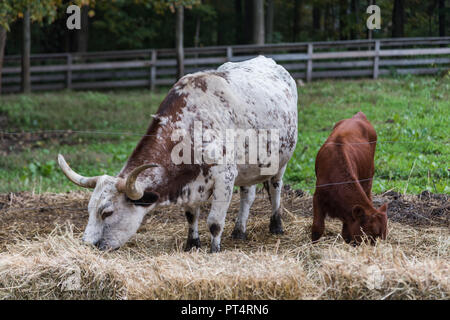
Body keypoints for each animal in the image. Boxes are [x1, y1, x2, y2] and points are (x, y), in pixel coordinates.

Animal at [59, 55, 298, 252]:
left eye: (107, 212)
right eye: (89, 209)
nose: (86, 245)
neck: (190, 124)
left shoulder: (225, 177)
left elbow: (214, 222)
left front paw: (214, 250)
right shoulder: (191, 183)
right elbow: (191, 215)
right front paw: (192, 243)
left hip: (281, 162)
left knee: (275, 189)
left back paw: (276, 224)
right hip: (248, 166)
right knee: (247, 194)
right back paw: (239, 230)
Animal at [312, 111, 386, 244]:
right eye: (369, 234)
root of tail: (358, 116)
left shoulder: (348, 213)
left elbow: (346, 234)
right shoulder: (318, 197)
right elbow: (317, 228)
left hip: (368, 177)